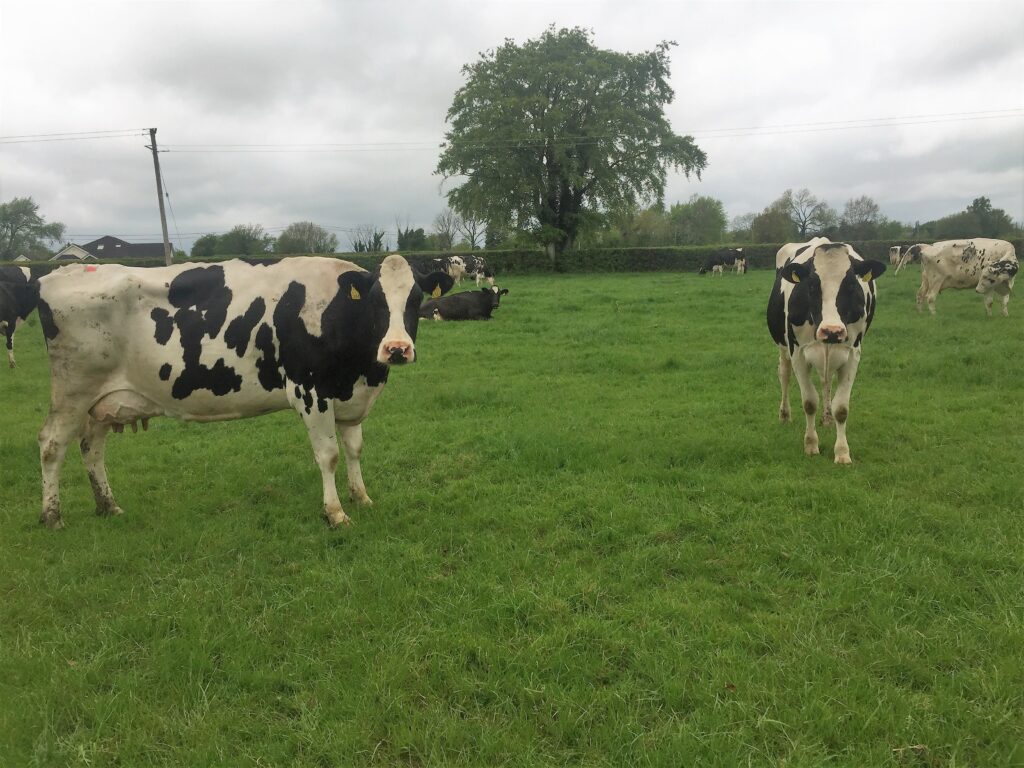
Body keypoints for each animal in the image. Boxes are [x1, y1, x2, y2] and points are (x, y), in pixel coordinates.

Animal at [34, 254, 453, 530]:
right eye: (377, 301)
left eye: (416, 299)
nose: (396, 349)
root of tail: (56, 275)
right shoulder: (310, 391)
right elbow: (329, 456)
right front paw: (335, 513)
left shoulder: (350, 397)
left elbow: (354, 451)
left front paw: (361, 497)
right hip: (73, 392)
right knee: (51, 445)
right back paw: (53, 516)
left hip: (101, 402)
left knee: (91, 449)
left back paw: (108, 506)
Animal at [767, 240, 886, 464]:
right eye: (812, 286)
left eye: (851, 285)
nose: (832, 330)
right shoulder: (798, 353)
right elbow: (809, 402)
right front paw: (811, 445)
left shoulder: (852, 353)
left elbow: (842, 408)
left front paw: (842, 452)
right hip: (783, 347)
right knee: (784, 374)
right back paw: (785, 415)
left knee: (826, 381)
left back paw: (828, 418)